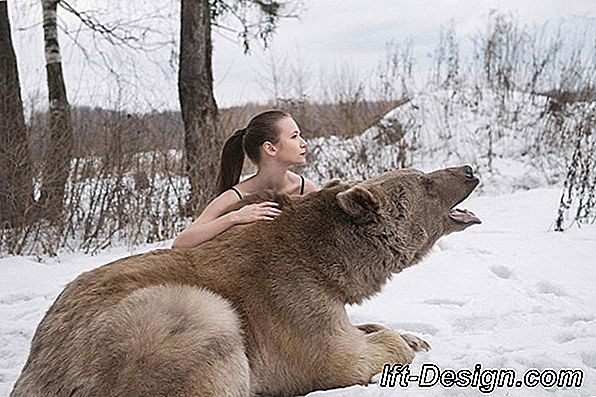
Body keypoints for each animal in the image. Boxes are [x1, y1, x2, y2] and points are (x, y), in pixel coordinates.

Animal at [11, 165, 482, 396]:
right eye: (425, 180)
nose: (468, 169)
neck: (327, 258)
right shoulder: (290, 299)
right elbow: (341, 357)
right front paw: (401, 344)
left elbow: (357, 328)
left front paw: (413, 335)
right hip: (152, 327)